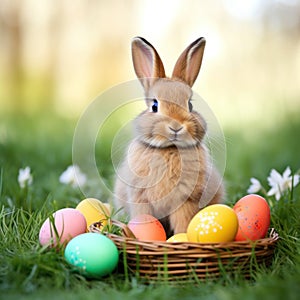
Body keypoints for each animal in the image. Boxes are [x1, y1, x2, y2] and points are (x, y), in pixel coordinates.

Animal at [113, 36, 224, 237]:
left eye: (190, 105)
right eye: (154, 106)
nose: (176, 127)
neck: (169, 149)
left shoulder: (185, 200)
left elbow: (183, 222)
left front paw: (181, 238)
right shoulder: (140, 199)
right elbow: (144, 219)